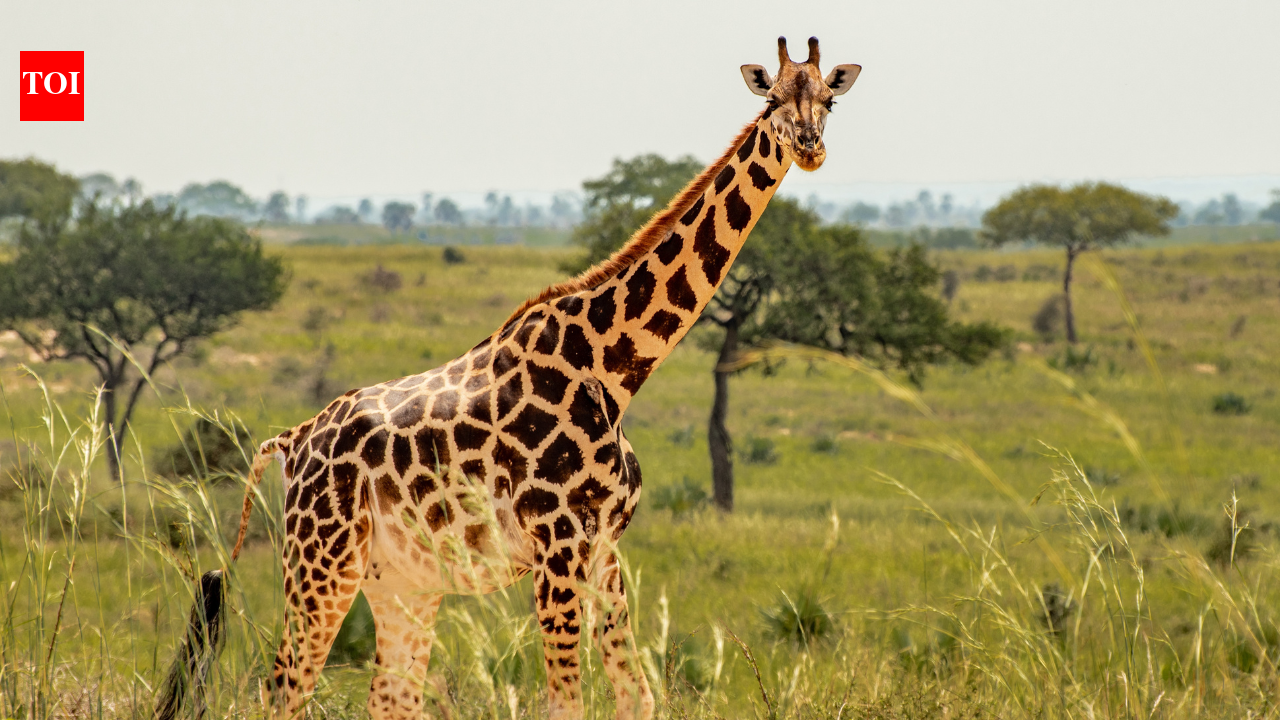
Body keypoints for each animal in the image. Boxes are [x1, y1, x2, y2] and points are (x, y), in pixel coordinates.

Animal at [156, 36, 859, 720]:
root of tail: (292, 440)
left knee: (391, 697)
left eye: (829, 100)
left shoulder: (603, 549)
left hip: (401, 581)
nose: (810, 147)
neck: (616, 369)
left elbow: (639, 695)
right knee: (285, 686)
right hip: (321, 560)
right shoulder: (558, 545)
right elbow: (566, 700)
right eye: (771, 101)